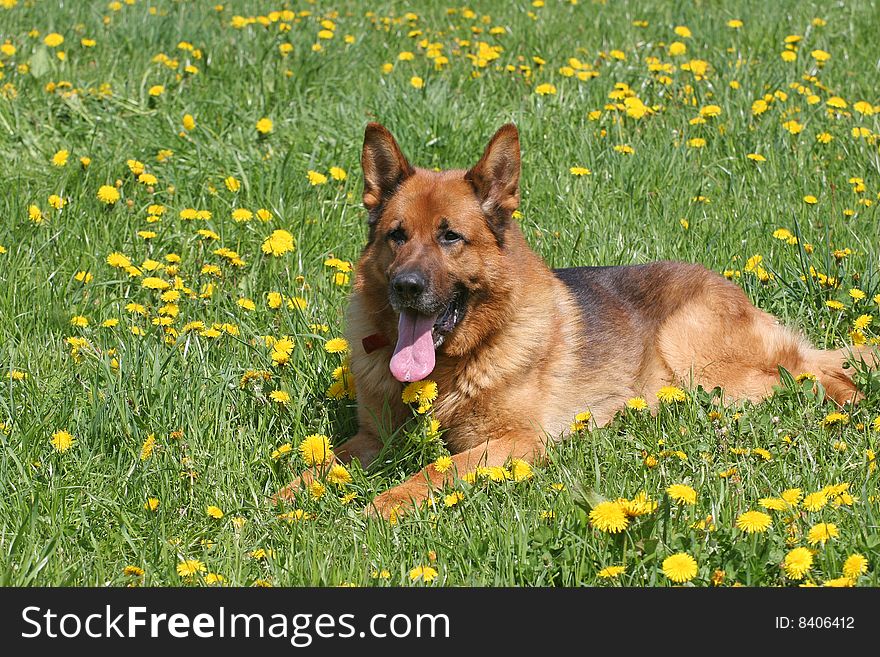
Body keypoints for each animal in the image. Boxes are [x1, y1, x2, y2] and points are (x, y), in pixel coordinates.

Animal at [276, 123, 872, 516]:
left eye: (451, 237)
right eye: (396, 235)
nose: (406, 287)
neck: (447, 369)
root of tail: (729, 286)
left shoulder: (514, 442)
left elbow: (432, 470)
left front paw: (382, 504)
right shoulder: (373, 439)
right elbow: (319, 464)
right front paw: (283, 497)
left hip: (704, 362)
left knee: (814, 375)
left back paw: (843, 406)